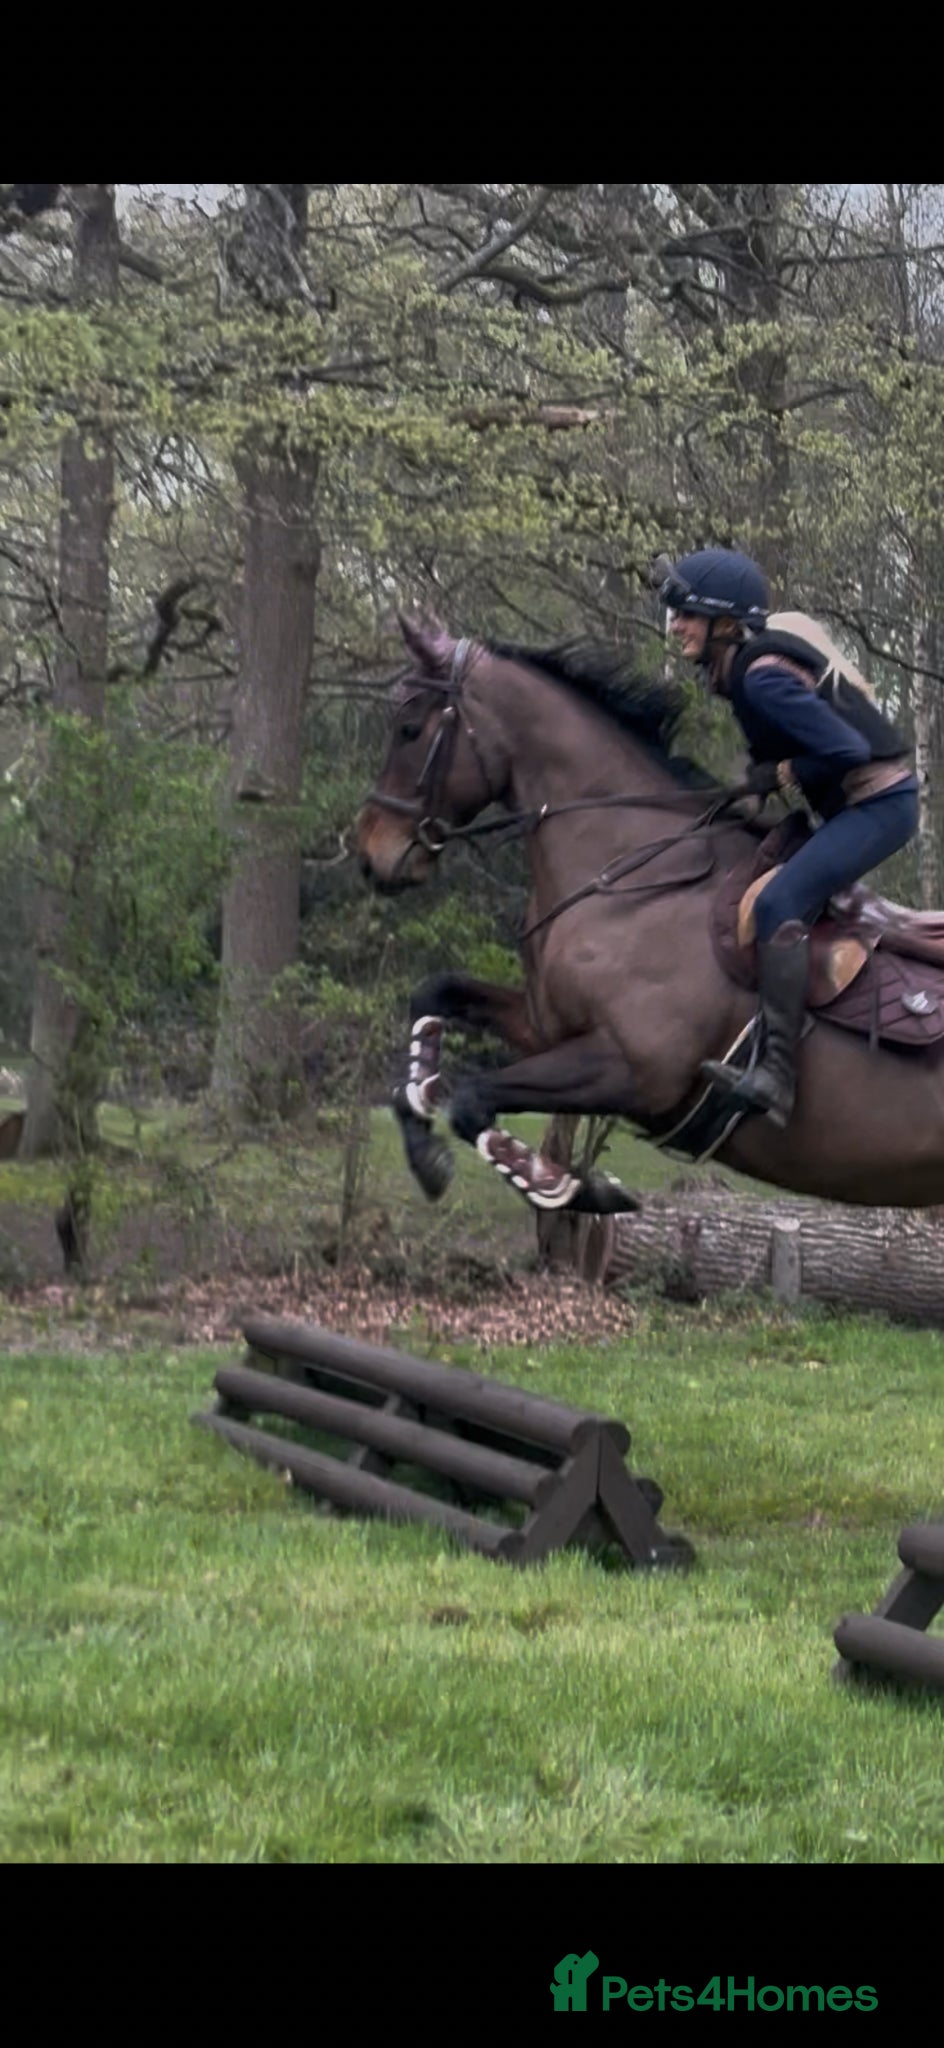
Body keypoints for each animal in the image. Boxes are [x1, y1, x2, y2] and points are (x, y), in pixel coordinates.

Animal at [356, 613, 944, 1217]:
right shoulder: (546, 1028)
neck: (632, 875)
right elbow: (434, 994)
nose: (370, 853)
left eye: (409, 730)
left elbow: (474, 1098)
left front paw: (564, 1184)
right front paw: (422, 1132)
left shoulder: (634, 1071)